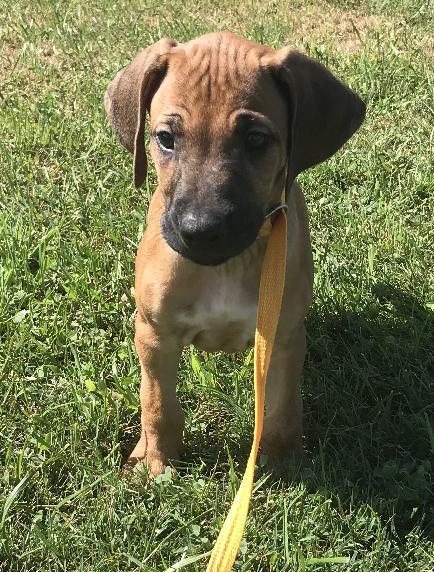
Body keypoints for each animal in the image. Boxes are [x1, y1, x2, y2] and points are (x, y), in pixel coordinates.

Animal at [105, 32, 366, 478]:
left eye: (256, 140)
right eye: (165, 138)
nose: (200, 231)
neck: (227, 266)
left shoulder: (283, 337)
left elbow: (281, 408)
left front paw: (283, 461)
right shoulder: (154, 335)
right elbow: (158, 405)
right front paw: (157, 461)